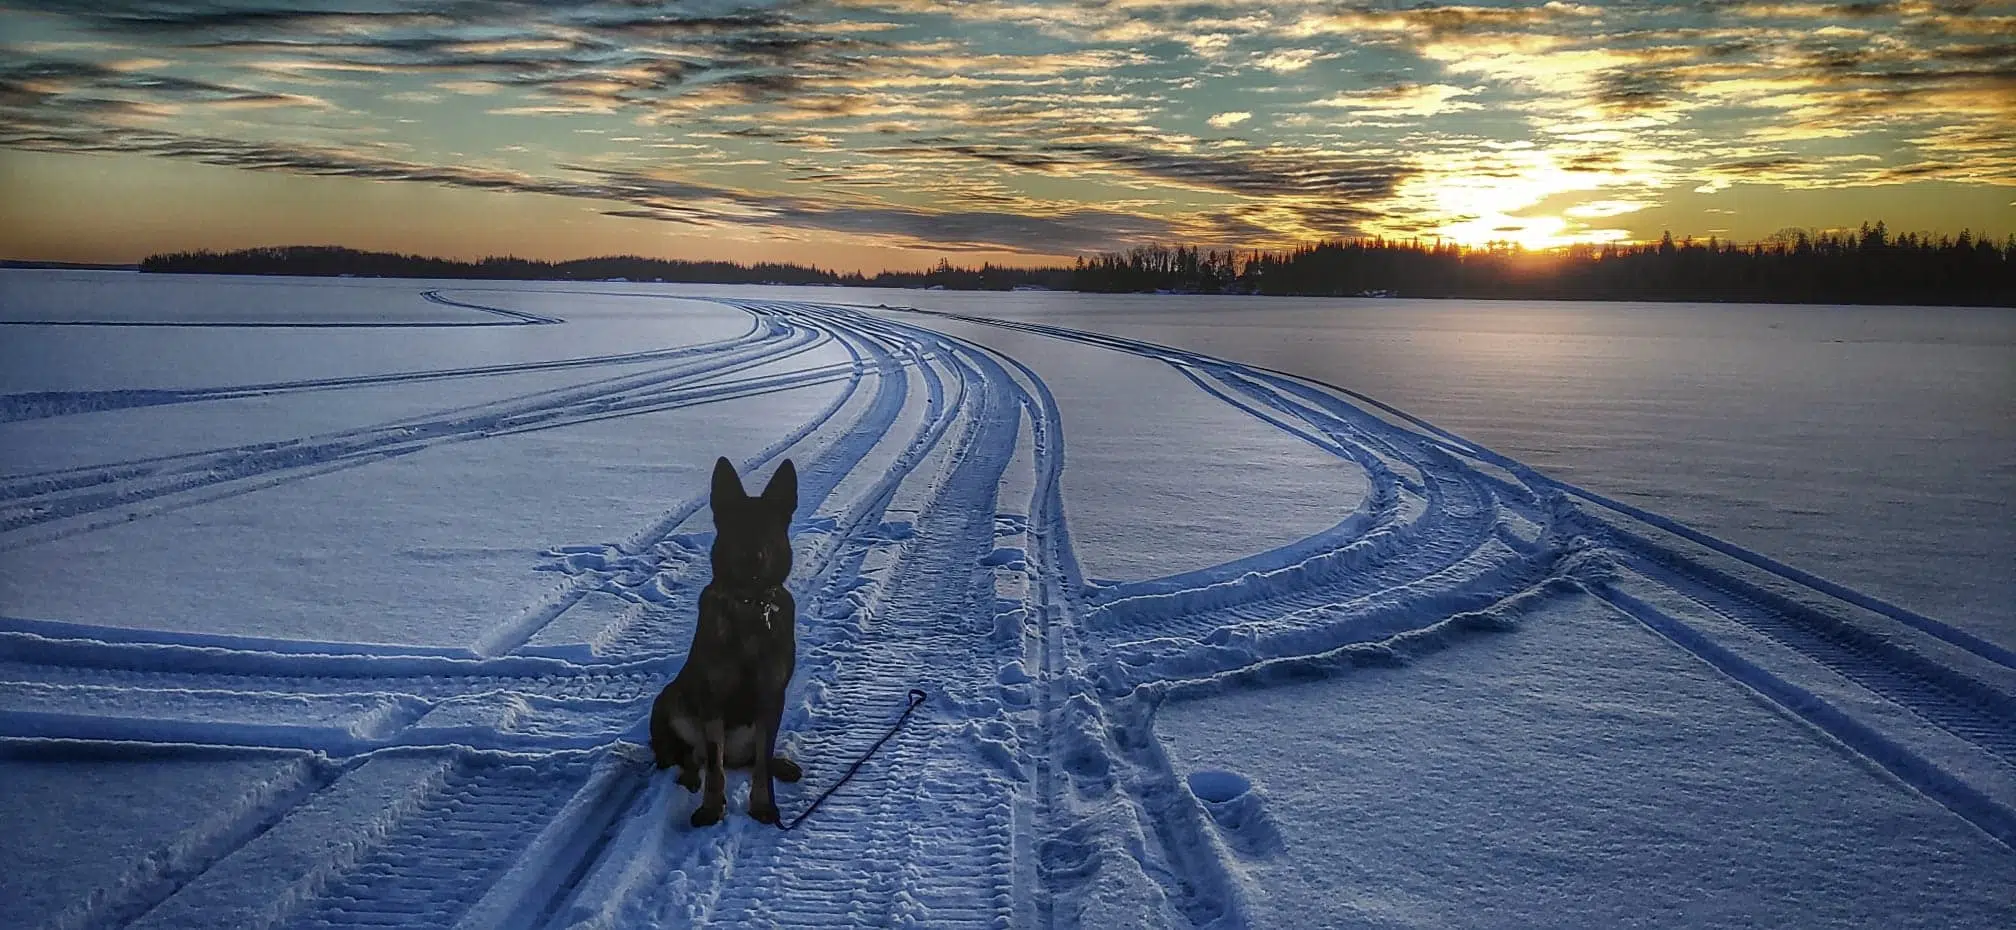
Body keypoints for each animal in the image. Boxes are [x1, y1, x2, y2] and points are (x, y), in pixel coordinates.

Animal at [649, 453, 798, 823]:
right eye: (736, 528)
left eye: (769, 529)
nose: (753, 557)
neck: (750, 604)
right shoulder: (713, 699)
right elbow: (715, 768)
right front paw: (711, 808)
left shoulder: (771, 697)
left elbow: (761, 763)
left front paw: (763, 805)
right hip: (669, 700)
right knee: (690, 757)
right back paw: (689, 777)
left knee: (754, 757)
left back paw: (781, 765)